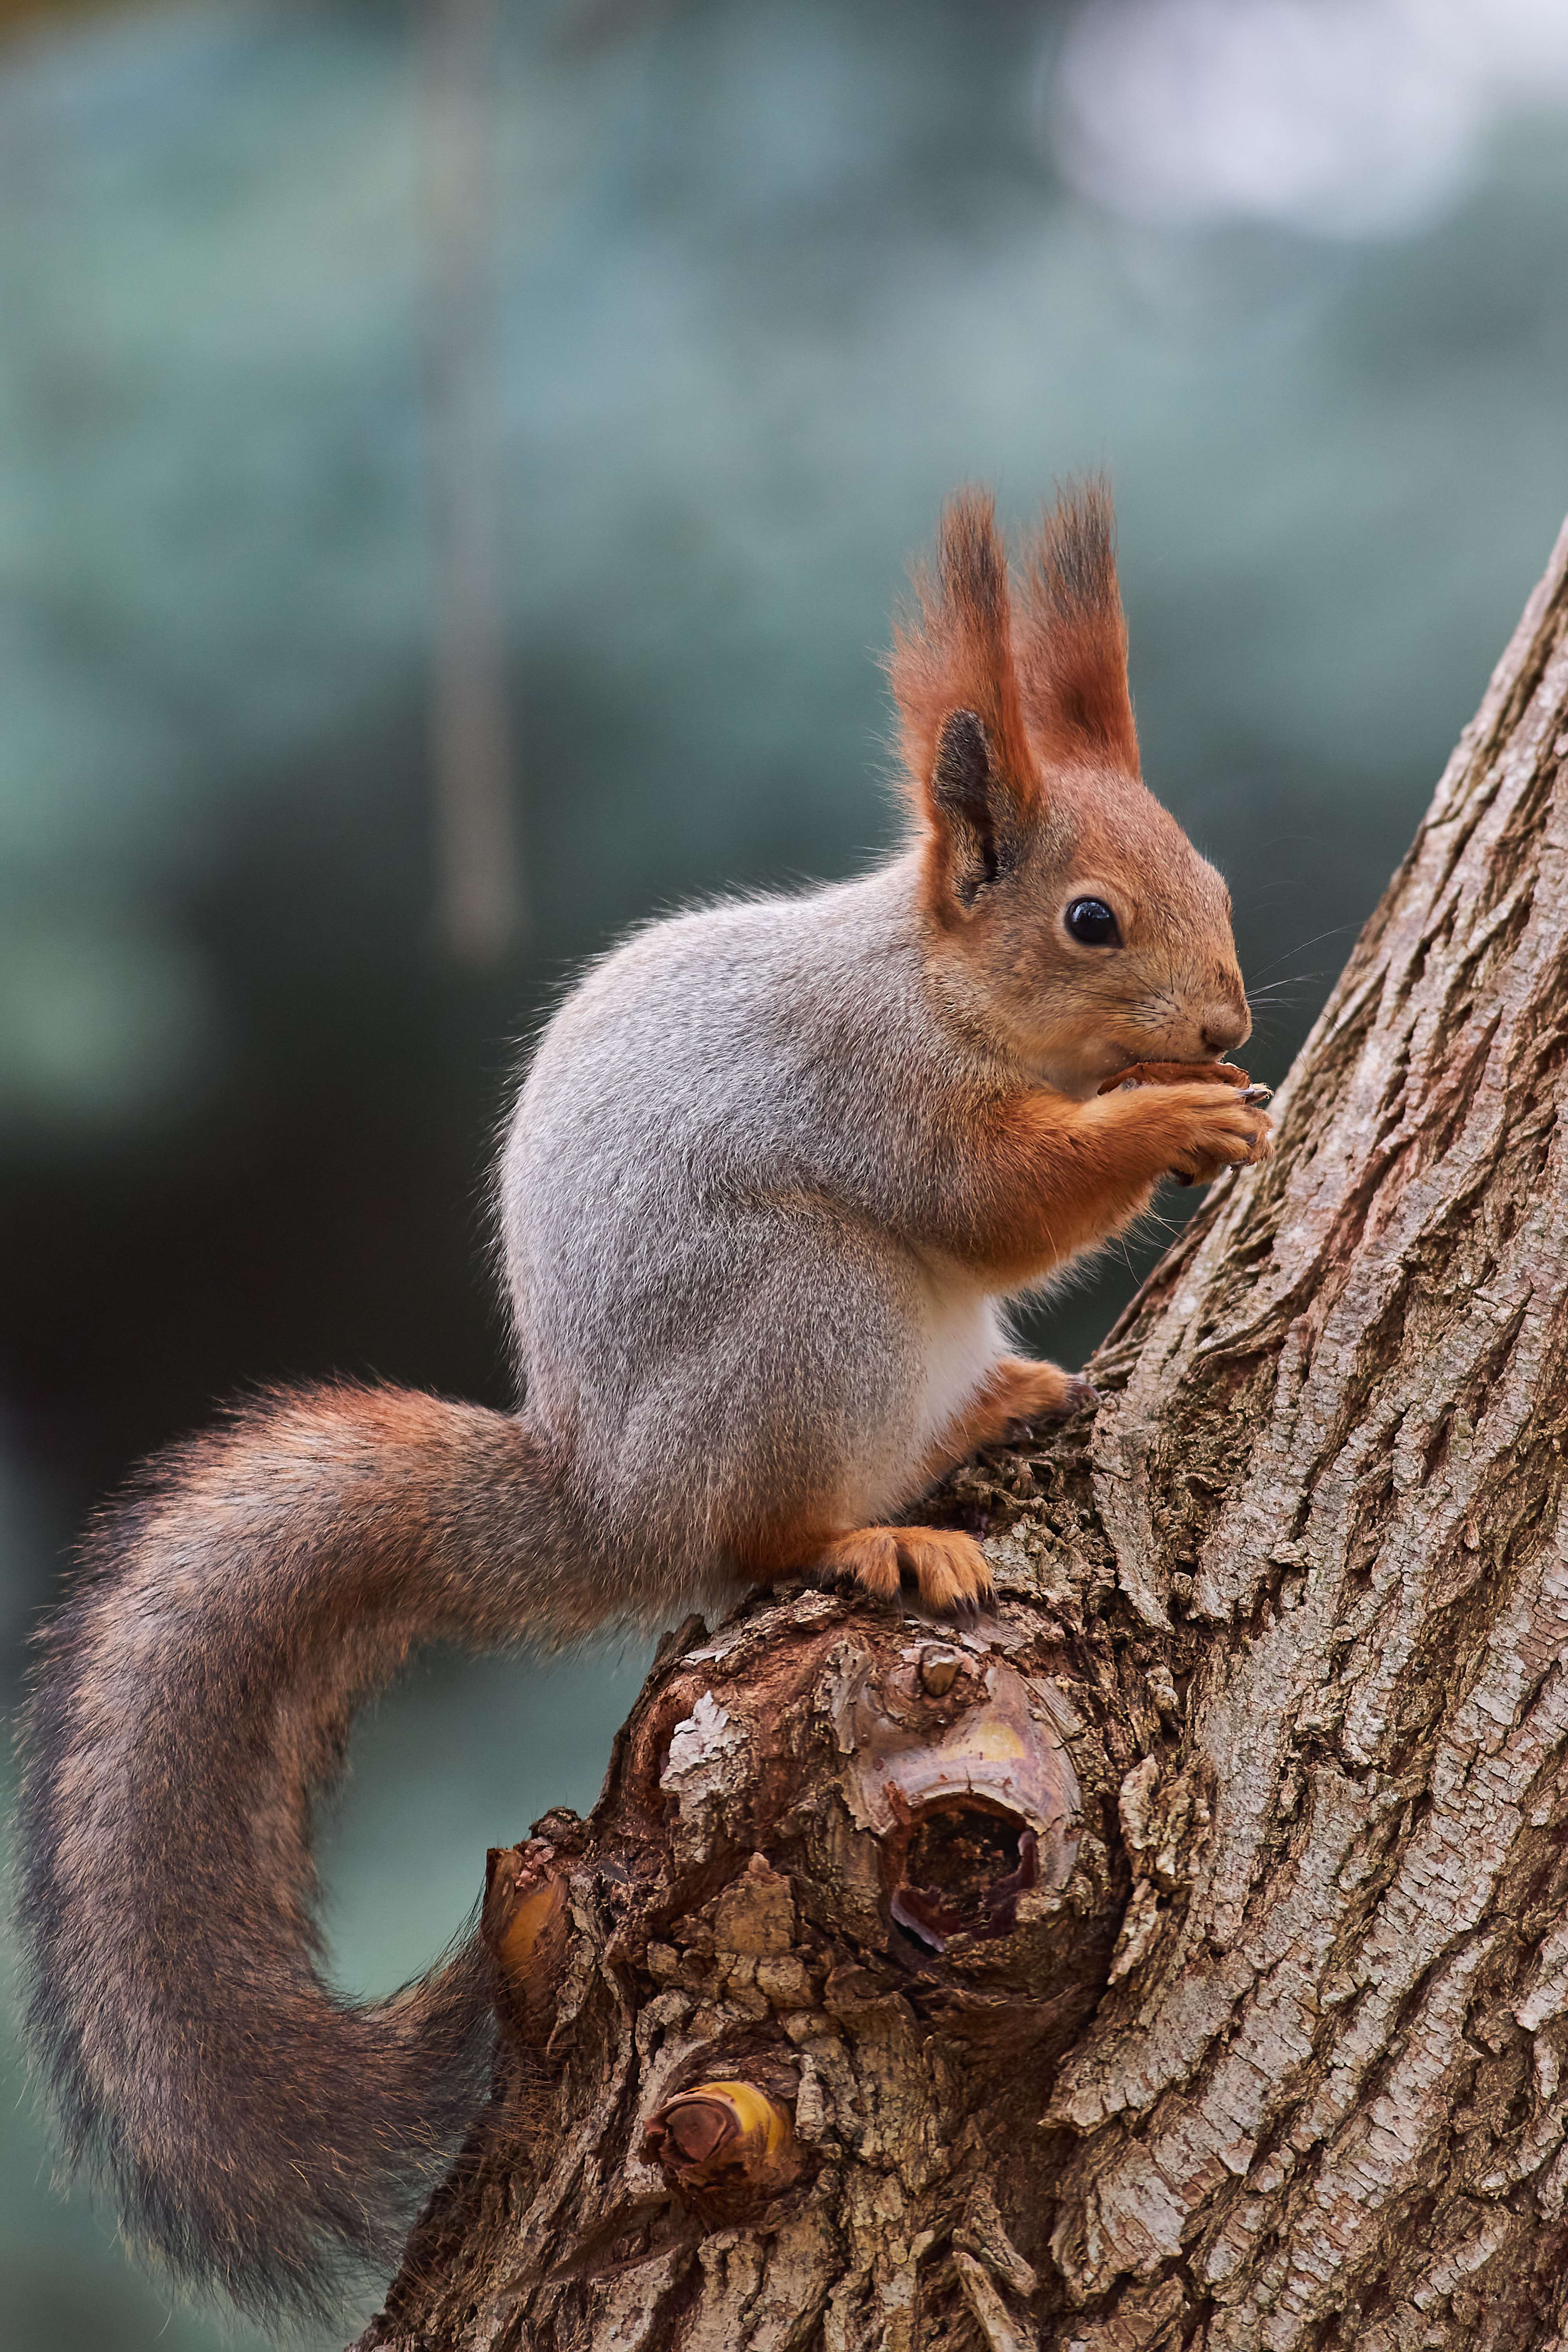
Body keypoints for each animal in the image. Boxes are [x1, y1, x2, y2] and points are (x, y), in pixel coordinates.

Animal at [15, 482, 1279, 2314]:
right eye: (1089, 921)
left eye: (1212, 878)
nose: (1225, 1017)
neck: (928, 984)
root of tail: (605, 1495)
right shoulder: (874, 1090)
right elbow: (992, 1201)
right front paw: (1174, 1116)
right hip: (808, 1327)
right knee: (764, 1530)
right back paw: (871, 1540)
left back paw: (986, 1410)